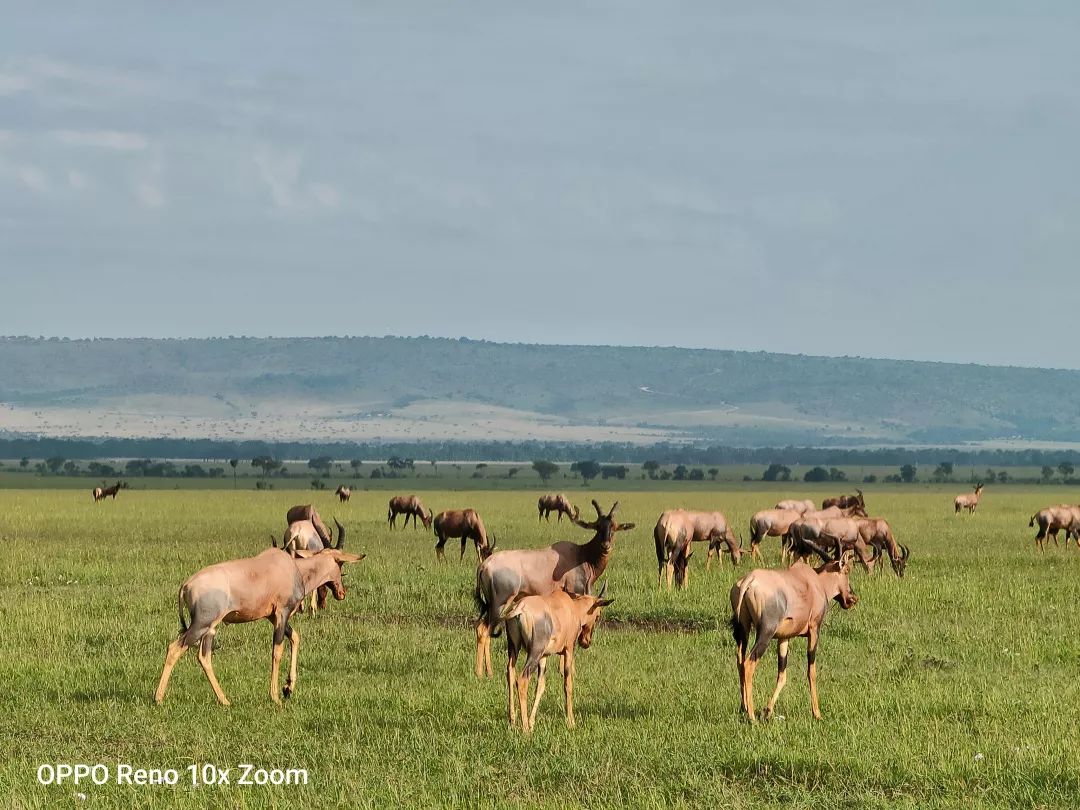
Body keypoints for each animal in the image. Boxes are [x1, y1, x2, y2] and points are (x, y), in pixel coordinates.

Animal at [473, 501, 630, 678]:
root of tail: (484, 565)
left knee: (481, 628)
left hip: (491, 605)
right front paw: (568, 671)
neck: (580, 555)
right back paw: (482, 673)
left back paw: (487, 671)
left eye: (614, 526)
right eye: (598, 526)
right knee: (484, 630)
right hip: (500, 604)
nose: (606, 546)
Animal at [501, 583, 613, 734]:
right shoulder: (569, 650)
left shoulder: (544, 656)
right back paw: (525, 729)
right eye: (598, 615)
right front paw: (571, 722)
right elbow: (568, 684)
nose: (586, 642)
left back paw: (512, 721)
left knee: (510, 673)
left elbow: (540, 686)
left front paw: (532, 722)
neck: (570, 606)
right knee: (522, 680)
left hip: (514, 647)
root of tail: (520, 607)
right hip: (534, 652)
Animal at [730, 557, 855, 721]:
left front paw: (767, 711)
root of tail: (749, 580)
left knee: (740, 662)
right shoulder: (814, 630)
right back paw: (751, 716)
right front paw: (817, 714)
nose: (852, 598)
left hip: (743, 631)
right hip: (765, 633)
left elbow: (782, 674)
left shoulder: (784, 638)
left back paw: (743, 708)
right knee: (748, 664)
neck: (813, 582)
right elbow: (811, 672)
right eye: (846, 570)